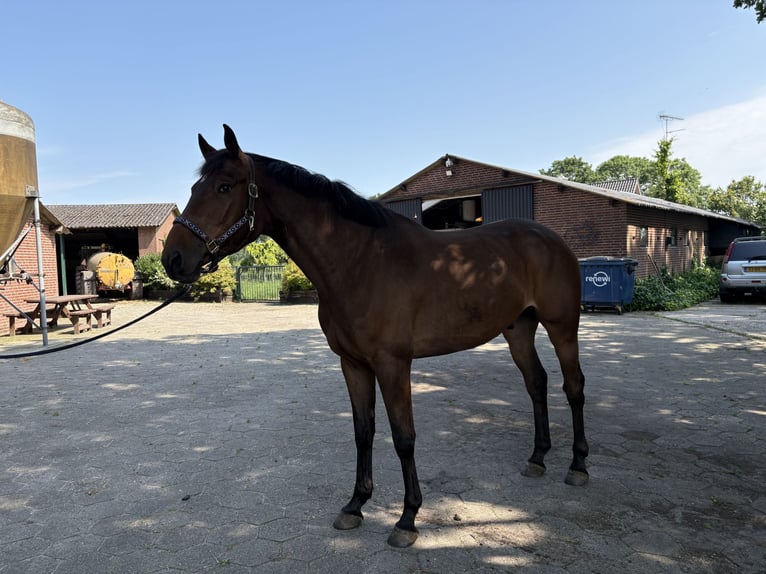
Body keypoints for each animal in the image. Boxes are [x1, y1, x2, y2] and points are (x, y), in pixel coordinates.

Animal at [162, 125, 589, 548]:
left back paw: (578, 465)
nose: (173, 259)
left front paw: (407, 519)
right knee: (536, 382)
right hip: (519, 328)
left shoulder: (393, 364)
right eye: (194, 187)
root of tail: (549, 238)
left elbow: (403, 437)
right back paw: (537, 459)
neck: (360, 262)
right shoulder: (353, 364)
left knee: (573, 387)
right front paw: (355, 505)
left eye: (223, 187)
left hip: (563, 327)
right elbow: (363, 432)